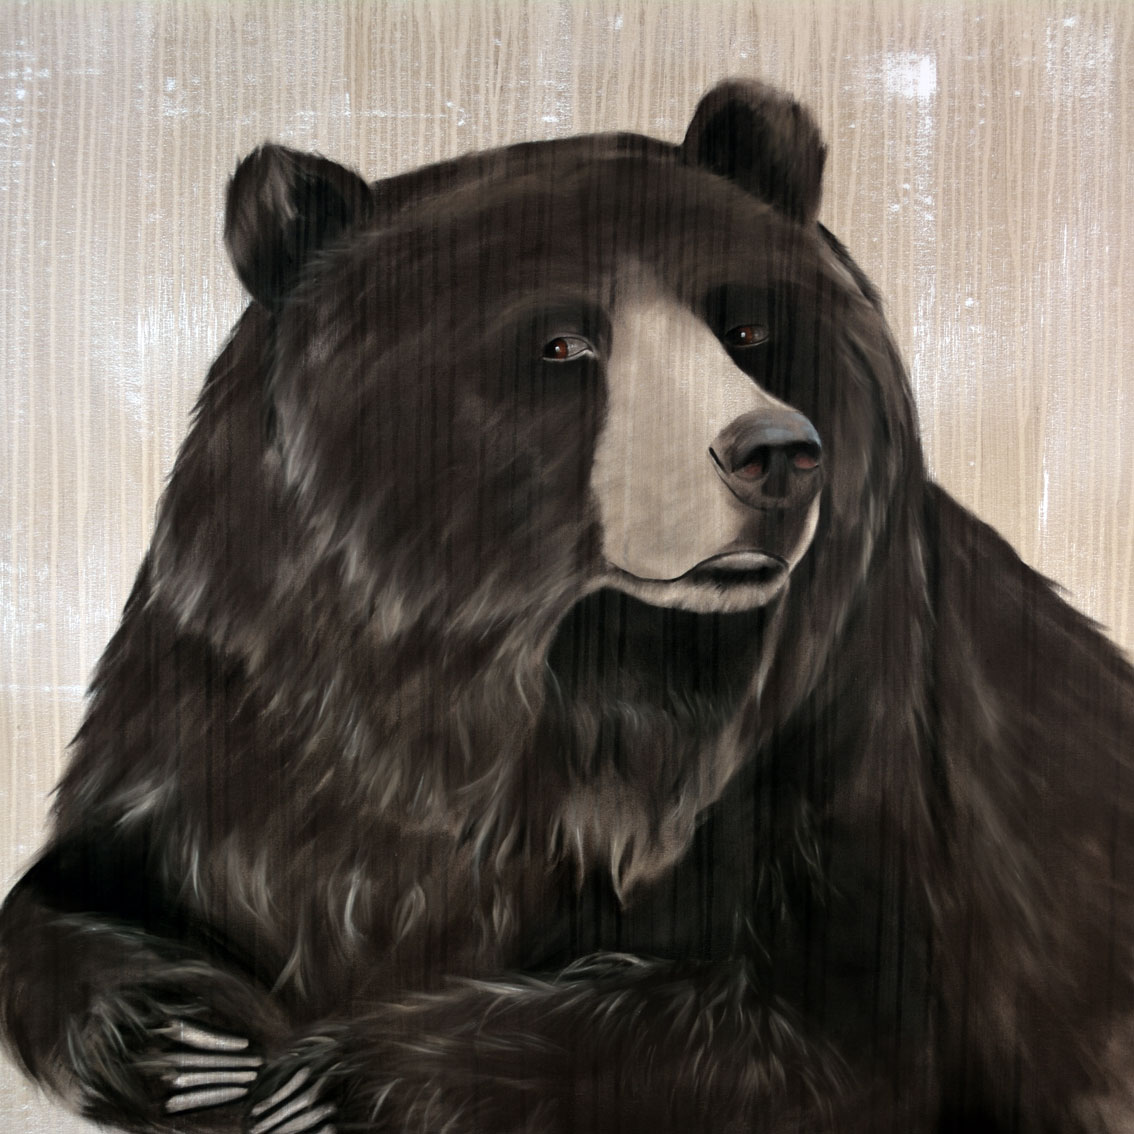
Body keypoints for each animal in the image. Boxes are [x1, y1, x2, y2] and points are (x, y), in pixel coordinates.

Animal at [1, 77, 1132, 1134]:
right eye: (560, 345)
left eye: (746, 324)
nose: (775, 454)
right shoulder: (230, 690)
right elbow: (68, 889)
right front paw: (189, 1041)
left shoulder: (837, 721)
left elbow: (822, 1026)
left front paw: (325, 1080)